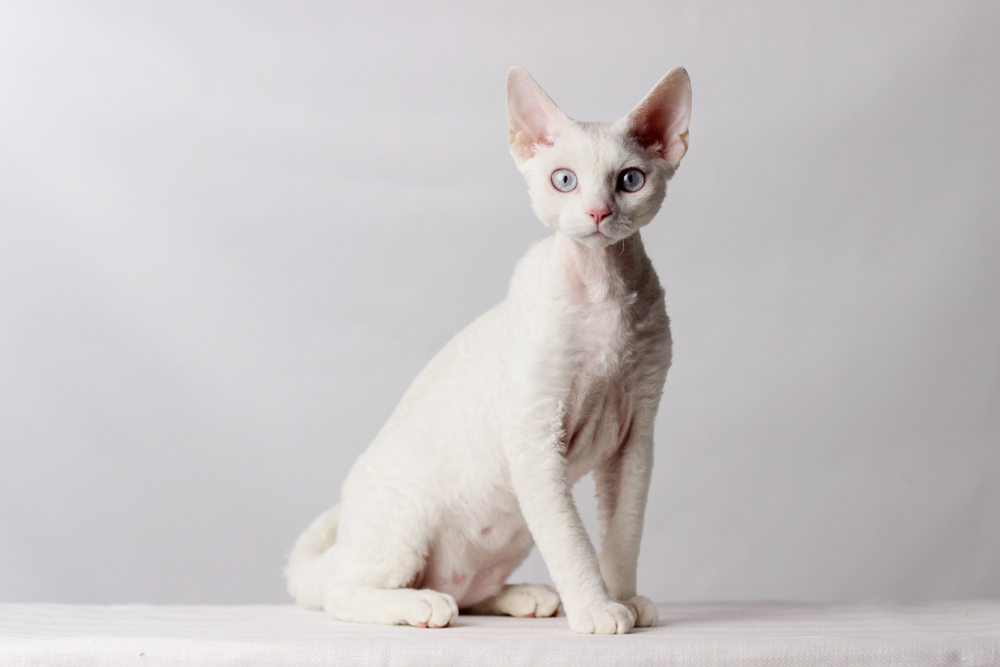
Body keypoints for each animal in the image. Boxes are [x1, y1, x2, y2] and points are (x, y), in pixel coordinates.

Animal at [286, 65, 692, 636]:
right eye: (563, 179)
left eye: (629, 180)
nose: (597, 212)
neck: (603, 293)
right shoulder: (534, 433)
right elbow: (572, 541)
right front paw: (596, 609)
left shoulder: (636, 438)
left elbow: (622, 534)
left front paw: (626, 599)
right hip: (402, 520)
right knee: (340, 593)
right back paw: (422, 605)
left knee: (468, 589)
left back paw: (524, 596)